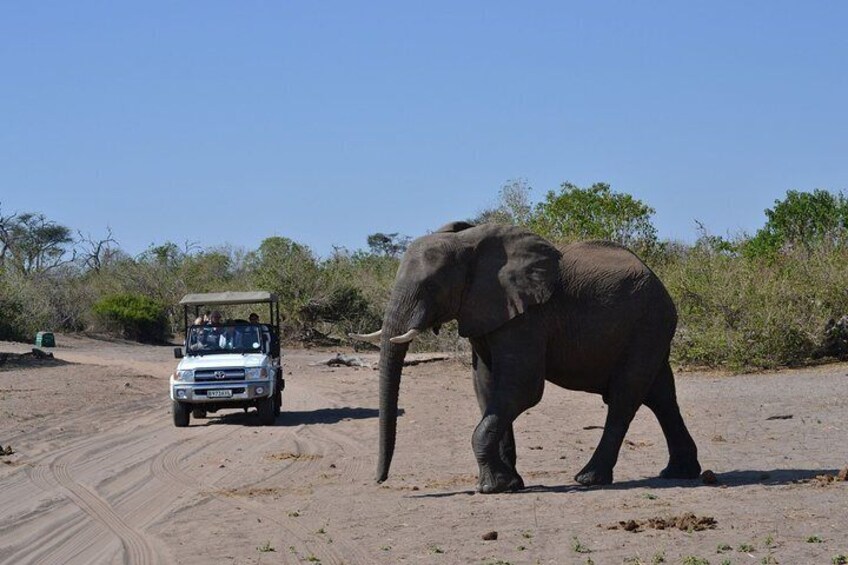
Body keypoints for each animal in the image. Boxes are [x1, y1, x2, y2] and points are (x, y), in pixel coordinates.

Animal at [348, 220, 700, 494]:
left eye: (431, 285)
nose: (379, 480)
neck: (469, 244)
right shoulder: (485, 312)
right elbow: (486, 387)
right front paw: (509, 484)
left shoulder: (527, 318)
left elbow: (522, 388)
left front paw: (491, 488)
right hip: (649, 329)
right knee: (661, 396)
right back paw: (679, 473)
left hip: (648, 323)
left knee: (625, 397)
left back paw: (588, 479)